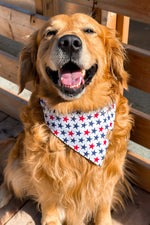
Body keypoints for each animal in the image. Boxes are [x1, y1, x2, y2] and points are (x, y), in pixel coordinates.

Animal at [0, 13, 132, 224]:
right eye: (50, 33)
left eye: (89, 30)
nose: (69, 42)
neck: (76, 111)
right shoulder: (41, 168)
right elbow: (48, 198)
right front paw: (51, 219)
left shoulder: (109, 170)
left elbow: (103, 203)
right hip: (17, 159)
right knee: (9, 178)